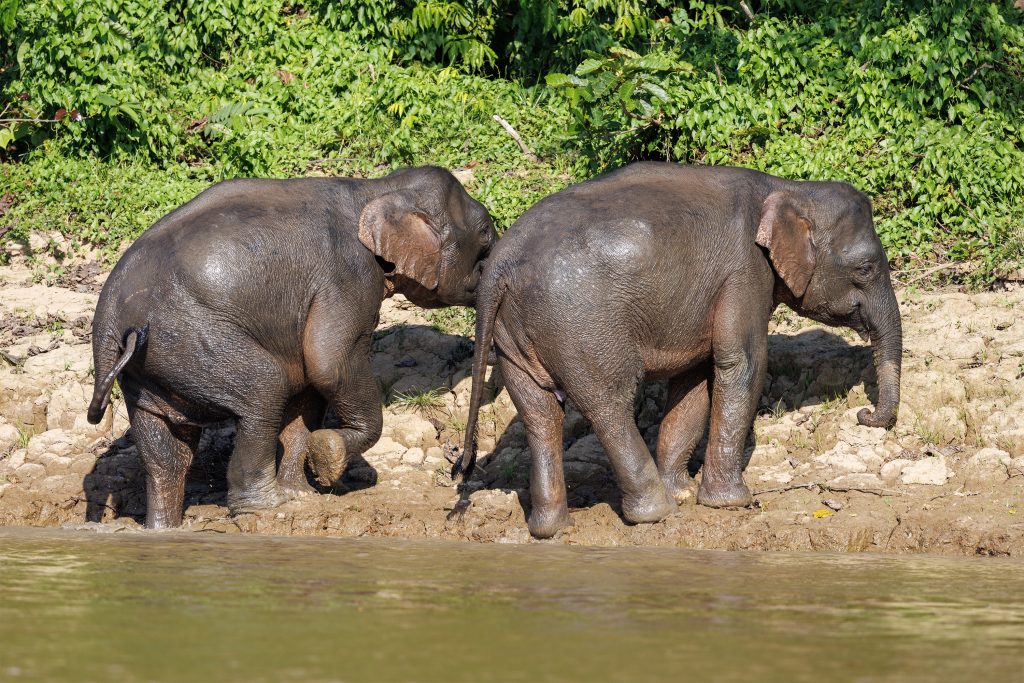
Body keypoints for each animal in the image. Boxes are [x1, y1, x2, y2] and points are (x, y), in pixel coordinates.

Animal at [87, 166, 497, 529]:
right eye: (485, 235)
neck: (376, 188)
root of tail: (110, 320)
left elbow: (307, 389)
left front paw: (303, 494)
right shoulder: (349, 275)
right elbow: (329, 362)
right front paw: (328, 458)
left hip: (147, 369)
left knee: (165, 452)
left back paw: (163, 527)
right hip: (191, 338)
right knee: (264, 390)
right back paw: (264, 507)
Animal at [453, 162, 901, 539]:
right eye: (865, 268)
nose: (864, 414)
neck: (789, 188)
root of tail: (498, 268)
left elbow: (696, 379)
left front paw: (685, 491)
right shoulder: (744, 270)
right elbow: (742, 363)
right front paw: (732, 503)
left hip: (512, 336)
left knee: (539, 415)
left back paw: (553, 529)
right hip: (580, 328)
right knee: (608, 405)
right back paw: (656, 513)